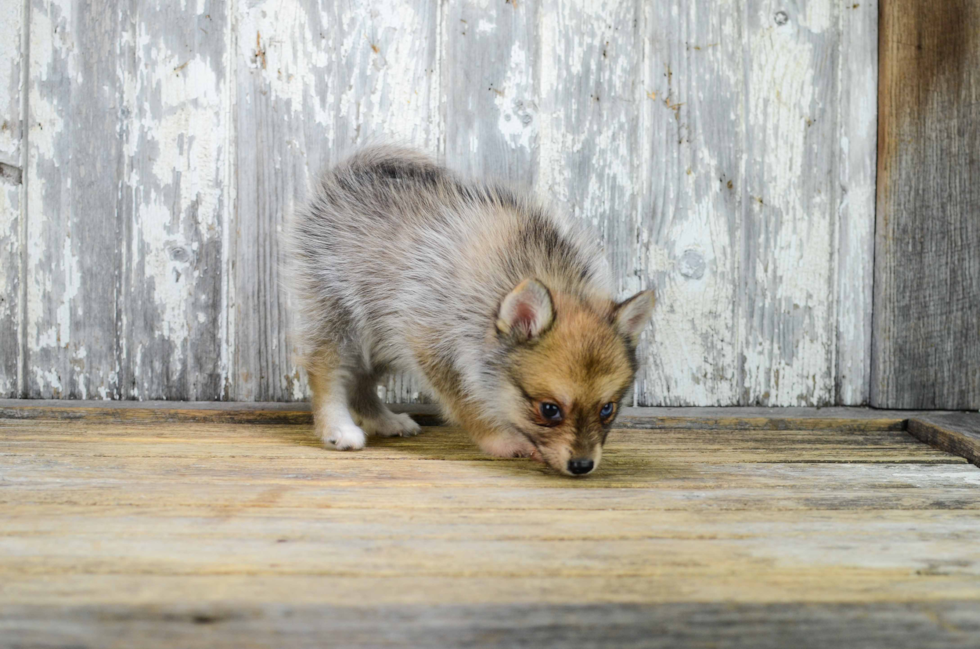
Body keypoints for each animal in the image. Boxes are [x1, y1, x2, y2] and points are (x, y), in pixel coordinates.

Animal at [286, 147, 652, 476]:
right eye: (549, 410)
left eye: (607, 409)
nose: (582, 465)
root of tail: (347, 176)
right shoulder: (433, 347)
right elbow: (468, 402)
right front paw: (501, 440)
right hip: (341, 318)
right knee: (325, 370)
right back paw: (337, 429)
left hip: (382, 336)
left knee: (362, 382)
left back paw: (385, 421)